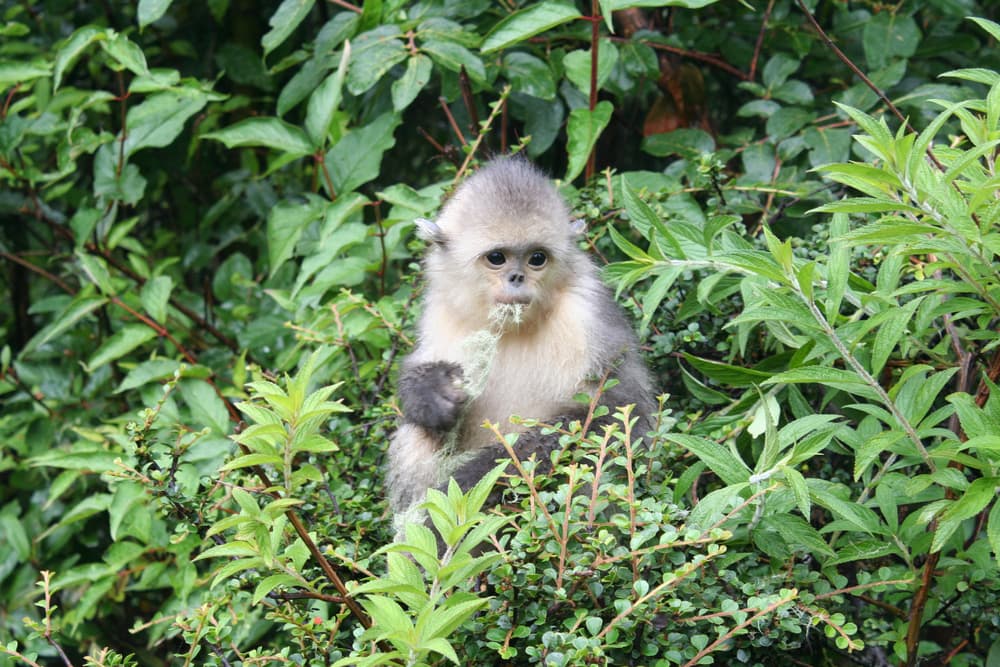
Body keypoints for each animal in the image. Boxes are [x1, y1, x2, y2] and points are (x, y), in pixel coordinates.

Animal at [387, 156, 656, 528]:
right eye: (497, 258)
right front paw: (429, 393)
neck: (513, 328)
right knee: (418, 432)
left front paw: (469, 483)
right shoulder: (439, 310)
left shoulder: (587, 313)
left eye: (536, 258)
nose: (517, 278)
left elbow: (618, 416)